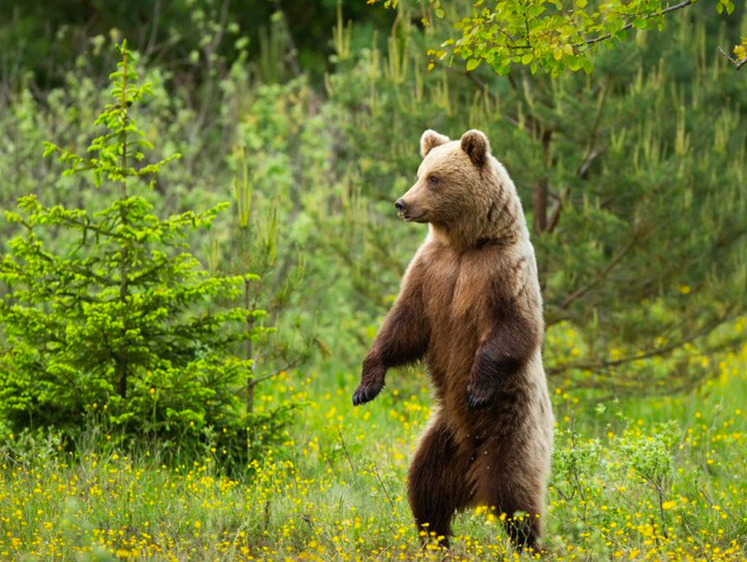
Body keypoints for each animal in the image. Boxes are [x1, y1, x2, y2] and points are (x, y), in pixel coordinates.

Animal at [352, 128, 556, 552]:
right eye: (421, 172)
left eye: (435, 178)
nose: (402, 203)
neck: (465, 244)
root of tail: (473, 484)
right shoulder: (430, 272)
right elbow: (403, 327)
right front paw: (366, 385)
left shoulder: (504, 273)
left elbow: (516, 328)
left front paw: (477, 387)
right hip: (442, 438)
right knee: (425, 487)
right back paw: (434, 540)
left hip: (513, 432)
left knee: (516, 495)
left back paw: (529, 544)